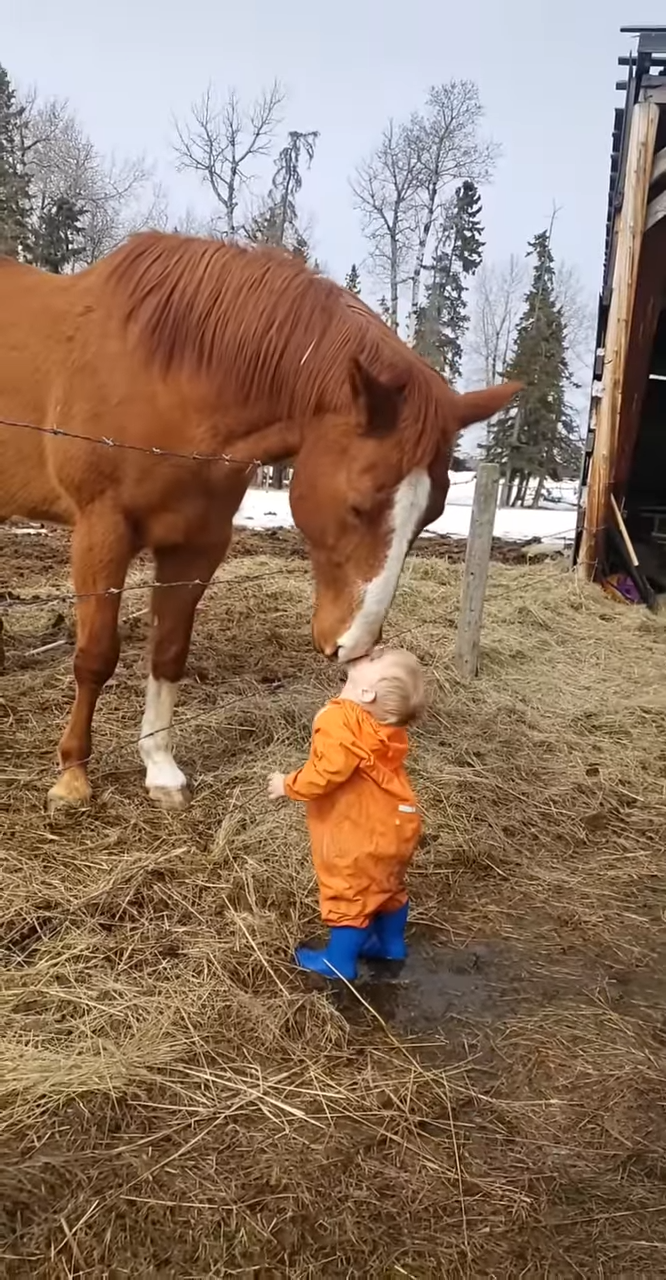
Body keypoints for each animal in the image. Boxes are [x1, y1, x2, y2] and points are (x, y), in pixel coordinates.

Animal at [0, 231, 519, 814]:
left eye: (430, 515)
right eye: (358, 504)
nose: (353, 646)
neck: (166, 378)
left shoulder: (197, 544)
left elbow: (169, 652)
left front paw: (161, 770)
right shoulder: (101, 532)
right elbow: (95, 656)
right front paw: (72, 777)